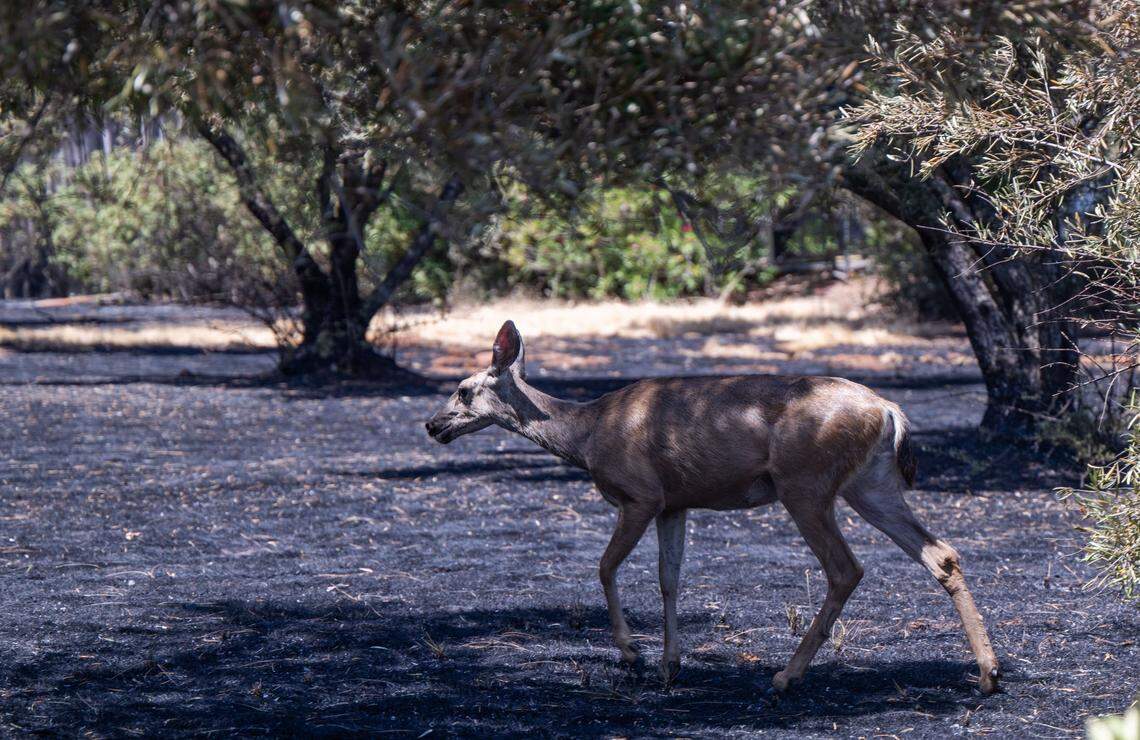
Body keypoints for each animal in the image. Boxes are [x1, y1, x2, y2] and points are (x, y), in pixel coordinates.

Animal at [425, 320, 1000, 695]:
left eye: (463, 390)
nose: (432, 425)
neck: (587, 435)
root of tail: (890, 410)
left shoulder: (640, 493)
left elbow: (606, 567)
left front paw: (632, 654)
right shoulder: (675, 503)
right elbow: (669, 579)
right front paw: (670, 665)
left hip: (806, 483)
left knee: (845, 567)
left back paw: (786, 676)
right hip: (870, 484)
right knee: (941, 554)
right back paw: (988, 673)